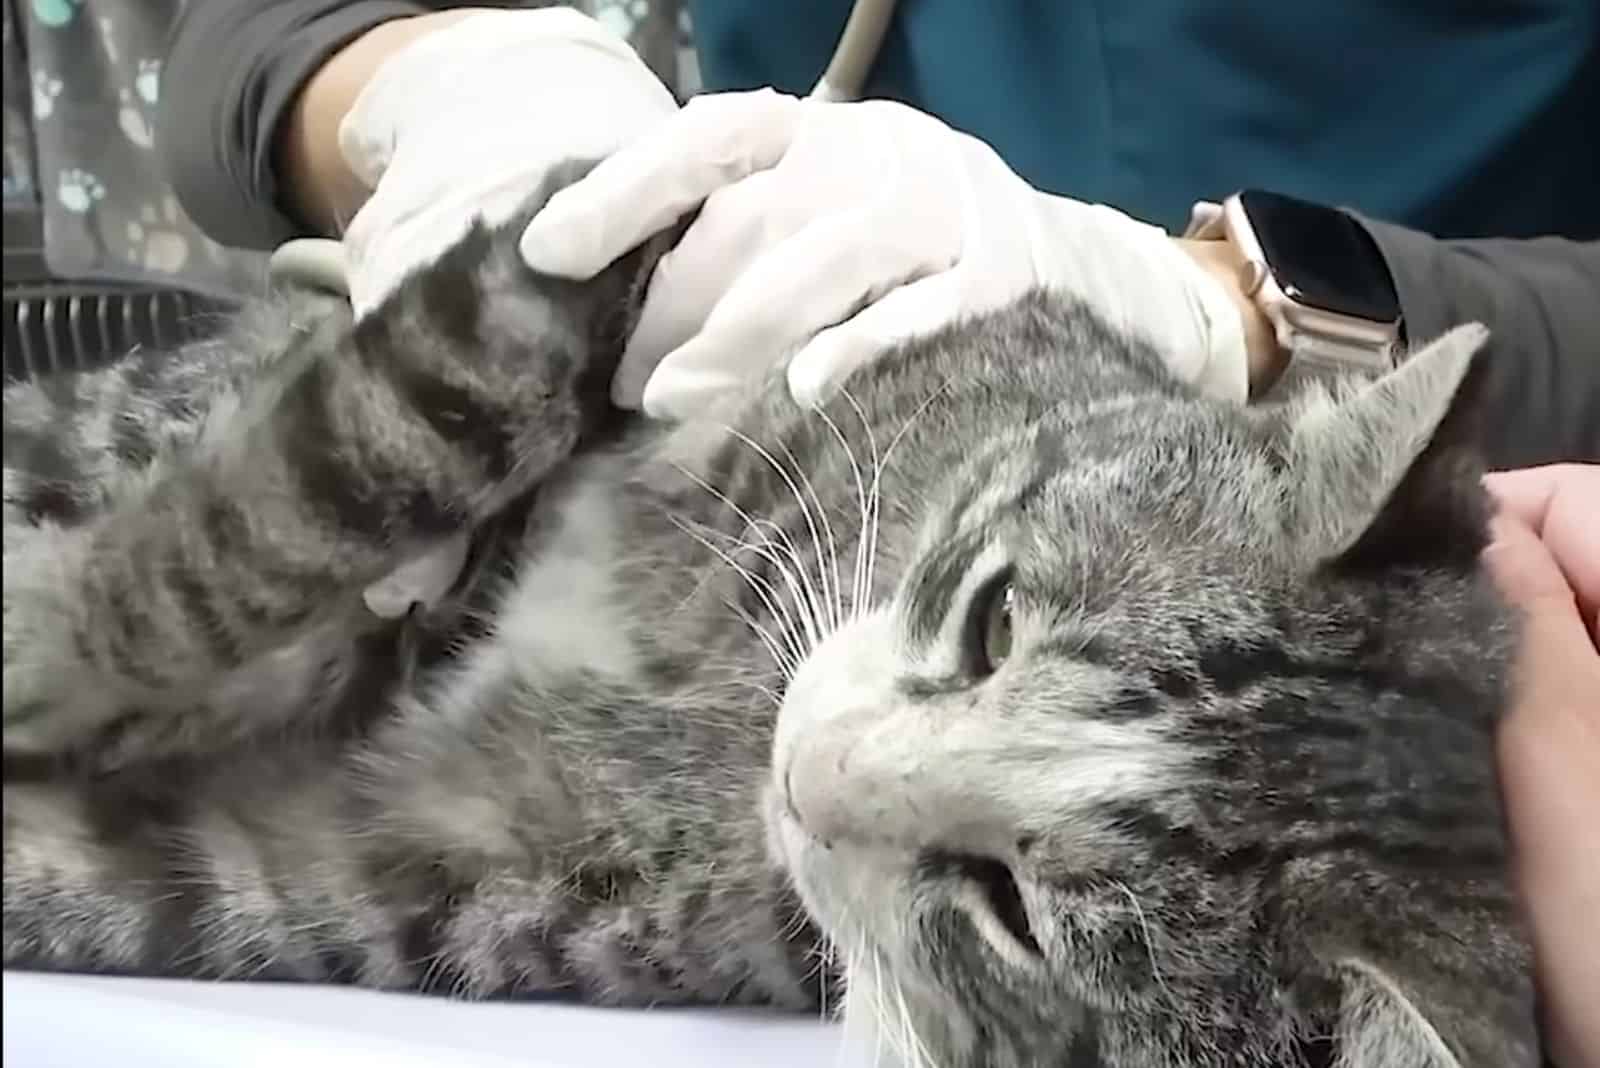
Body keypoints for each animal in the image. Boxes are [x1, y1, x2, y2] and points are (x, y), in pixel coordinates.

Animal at [6, 160, 1542, 1068]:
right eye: (995, 622)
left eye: (1012, 916)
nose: (803, 775)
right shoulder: (624, 282)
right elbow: (322, 481)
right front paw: (52, 634)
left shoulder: (412, 862)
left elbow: (158, 874)